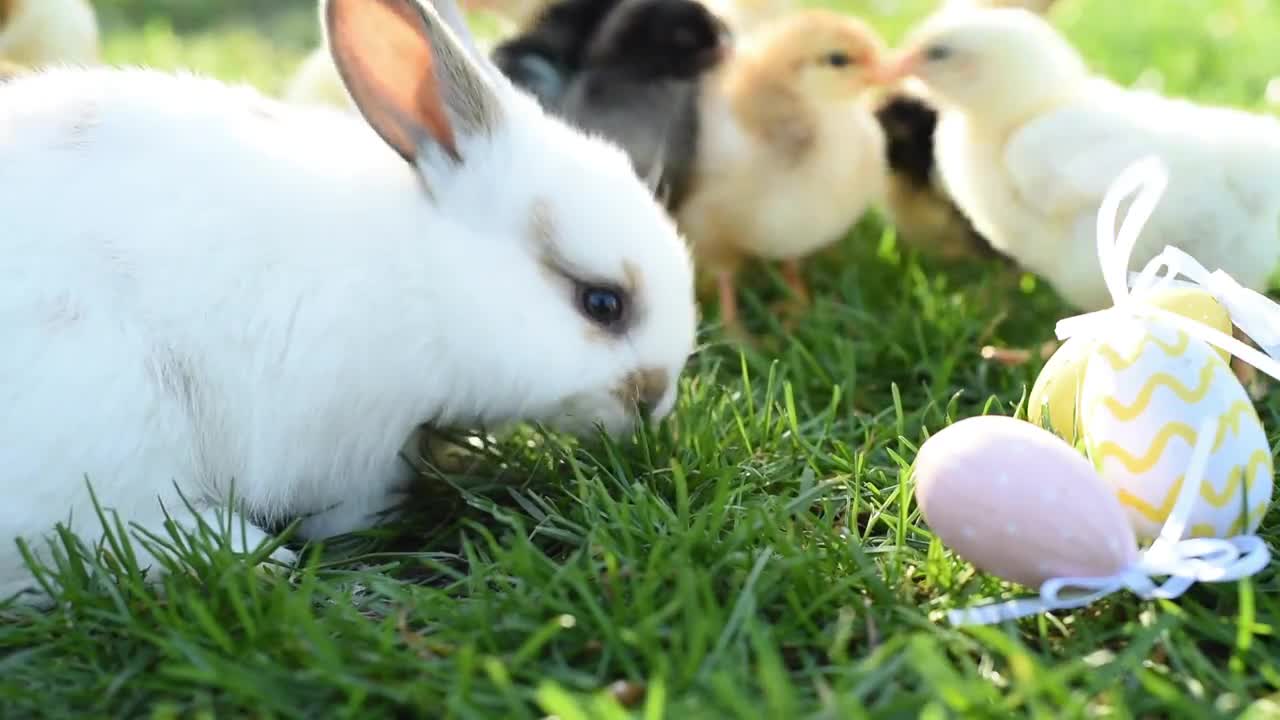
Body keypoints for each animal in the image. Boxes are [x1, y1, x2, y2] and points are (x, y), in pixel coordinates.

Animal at [0, 0, 696, 599]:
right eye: (602, 303)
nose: (658, 402)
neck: (430, 277)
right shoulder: (354, 442)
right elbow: (352, 505)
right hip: (114, 419)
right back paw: (255, 557)